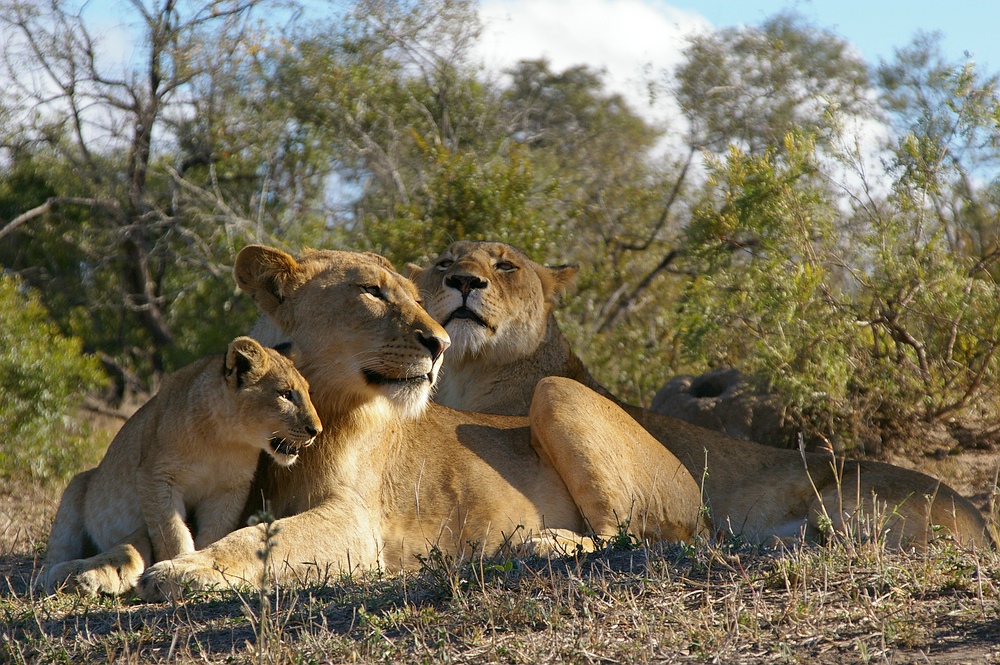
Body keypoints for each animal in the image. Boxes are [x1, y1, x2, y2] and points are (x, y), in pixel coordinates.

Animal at [41, 338, 322, 592]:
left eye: (308, 392)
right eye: (285, 394)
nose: (316, 430)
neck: (225, 440)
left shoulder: (228, 490)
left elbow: (213, 533)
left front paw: (190, 566)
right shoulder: (156, 477)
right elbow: (172, 531)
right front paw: (172, 569)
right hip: (76, 487)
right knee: (56, 554)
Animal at [137, 245, 708, 600]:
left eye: (415, 297)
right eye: (371, 292)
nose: (441, 343)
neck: (326, 402)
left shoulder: (357, 523)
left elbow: (256, 540)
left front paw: (184, 571)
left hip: (556, 391)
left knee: (627, 537)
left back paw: (539, 543)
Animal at [410, 240, 996, 548]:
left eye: (505, 265)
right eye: (444, 263)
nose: (464, 281)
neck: (471, 373)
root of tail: (980, 521)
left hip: (841, 505)